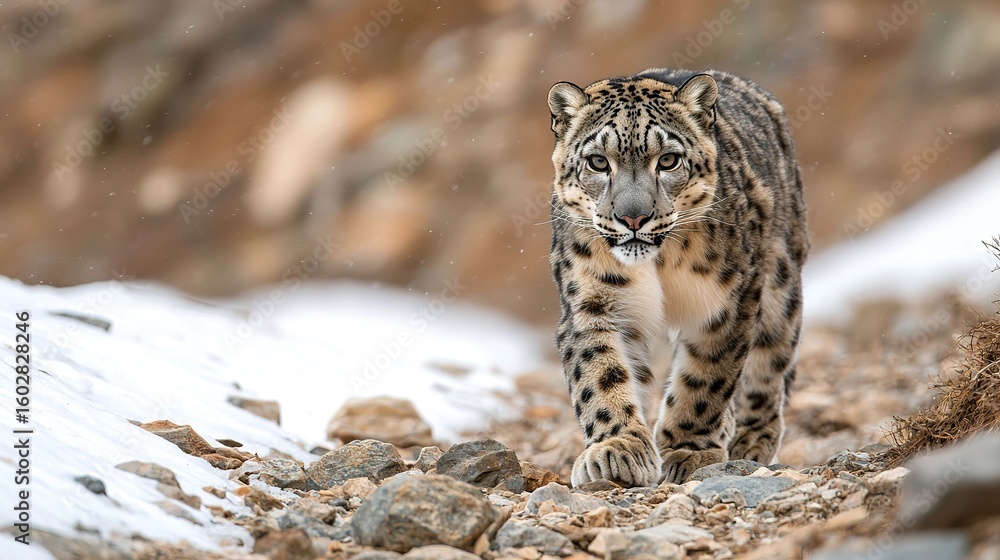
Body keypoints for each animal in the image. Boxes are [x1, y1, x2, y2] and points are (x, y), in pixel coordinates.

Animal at [546, 68, 809, 486]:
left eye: (668, 160)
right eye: (598, 162)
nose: (633, 217)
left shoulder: (725, 303)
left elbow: (706, 379)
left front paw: (689, 450)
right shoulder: (591, 302)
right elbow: (601, 372)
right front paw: (618, 449)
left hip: (780, 289)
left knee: (770, 363)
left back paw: (752, 440)